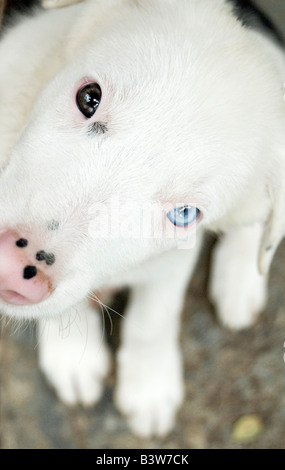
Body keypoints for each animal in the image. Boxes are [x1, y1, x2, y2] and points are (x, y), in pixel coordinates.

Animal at [0, 0, 284, 436]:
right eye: (89, 98)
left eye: (184, 214)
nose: (14, 267)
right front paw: (72, 355)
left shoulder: (173, 257)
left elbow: (155, 316)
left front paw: (149, 386)